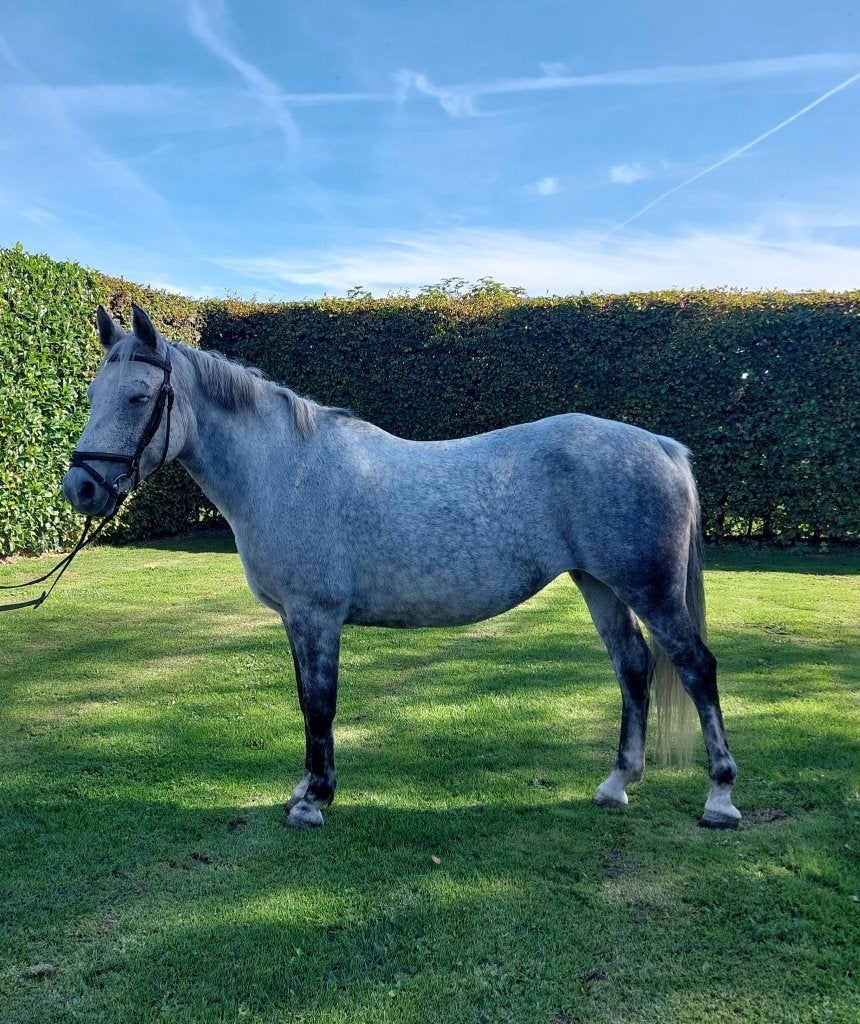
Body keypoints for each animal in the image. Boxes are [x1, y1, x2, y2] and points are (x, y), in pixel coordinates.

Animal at [62, 304, 740, 830]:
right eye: (93, 395)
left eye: (138, 396)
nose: (81, 489)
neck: (287, 470)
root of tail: (661, 447)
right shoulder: (297, 621)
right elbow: (307, 702)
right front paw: (305, 788)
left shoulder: (316, 616)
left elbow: (320, 704)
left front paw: (313, 800)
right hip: (599, 584)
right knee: (633, 668)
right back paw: (616, 784)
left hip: (649, 589)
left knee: (695, 669)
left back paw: (720, 799)